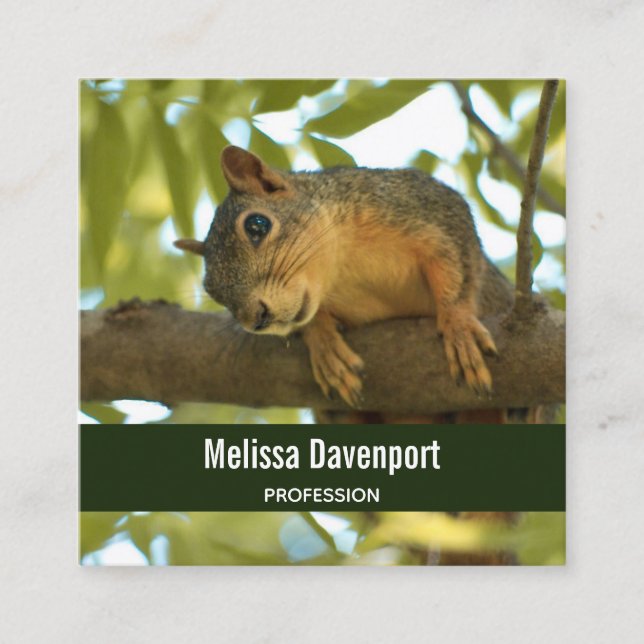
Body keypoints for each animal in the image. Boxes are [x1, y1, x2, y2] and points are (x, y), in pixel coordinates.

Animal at [175, 145, 522, 415]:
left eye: (257, 225)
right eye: (212, 291)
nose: (257, 319)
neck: (340, 270)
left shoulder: (428, 208)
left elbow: (457, 265)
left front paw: (458, 325)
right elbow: (311, 322)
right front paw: (324, 344)